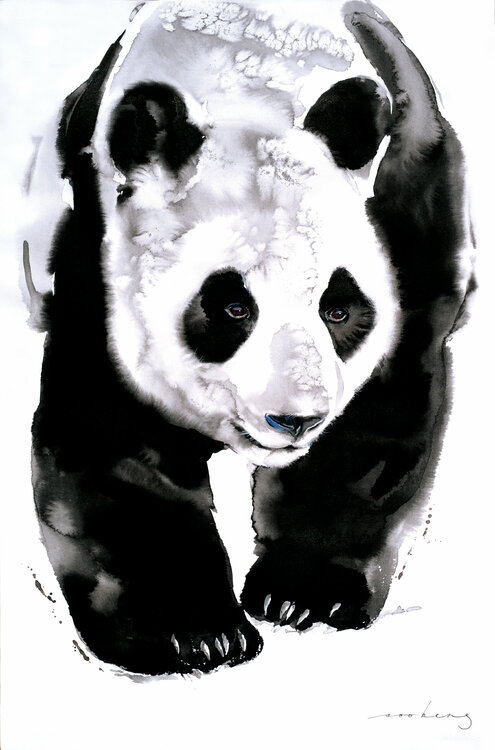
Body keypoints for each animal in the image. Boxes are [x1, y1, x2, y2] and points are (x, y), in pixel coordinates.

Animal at [26, 0, 473, 675]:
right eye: (233, 308)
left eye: (338, 311)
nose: (297, 419)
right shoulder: (96, 257)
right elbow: (107, 439)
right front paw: (192, 634)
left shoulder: (407, 211)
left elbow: (377, 416)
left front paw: (303, 596)